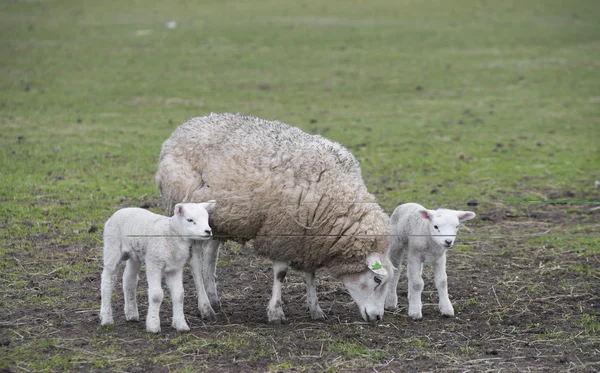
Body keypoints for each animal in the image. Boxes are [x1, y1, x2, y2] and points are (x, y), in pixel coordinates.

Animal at [100, 202, 216, 332]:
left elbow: (179, 295)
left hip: (135, 255)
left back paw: (132, 314)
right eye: (190, 220)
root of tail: (119, 211)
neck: (171, 233)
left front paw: (181, 325)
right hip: (112, 247)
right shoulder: (154, 263)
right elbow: (156, 295)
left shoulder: (175, 268)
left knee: (129, 280)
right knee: (108, 281)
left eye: (207, 218)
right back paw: (106, 318)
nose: (208, 231)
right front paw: (153, 326)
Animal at [157, 112, 396, 322]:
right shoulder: (282, 231)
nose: (377, 317)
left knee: (210, 257)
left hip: (217, 220)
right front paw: (276, 312)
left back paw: (214, 299)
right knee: (195, 262)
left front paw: (315, 309)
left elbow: (310, 274)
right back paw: (205, 308)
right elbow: (281, 274)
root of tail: (181, 129)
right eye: (377, 279)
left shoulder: (308, 237)